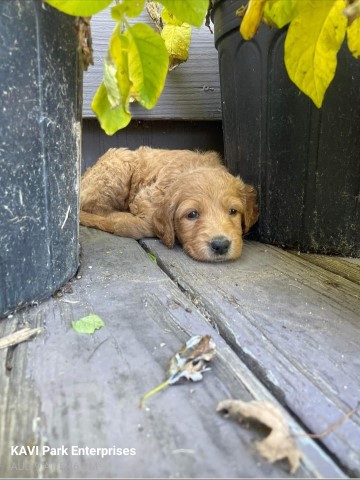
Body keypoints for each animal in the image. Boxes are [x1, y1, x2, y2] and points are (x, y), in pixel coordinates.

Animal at [80, 147, 258, 262]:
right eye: (192, 214)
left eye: (233, 211)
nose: (220, 245)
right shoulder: (145, 200)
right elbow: (142, 225)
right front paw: (121, 221)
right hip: (117, 169)